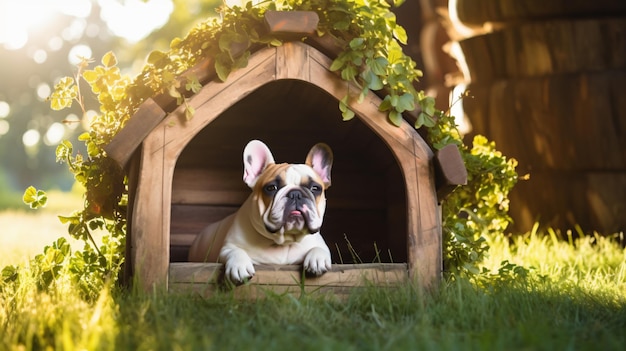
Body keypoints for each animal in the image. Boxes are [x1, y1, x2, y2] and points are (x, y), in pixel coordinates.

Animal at [186, 140, 330, 284]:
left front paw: (318, 259)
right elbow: (236, 251)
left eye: (315, 188)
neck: (283, 241)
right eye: (271, 188)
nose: (295, 194)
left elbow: (319, 248)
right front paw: (240, 265)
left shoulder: (321, 245)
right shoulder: (228, 248)